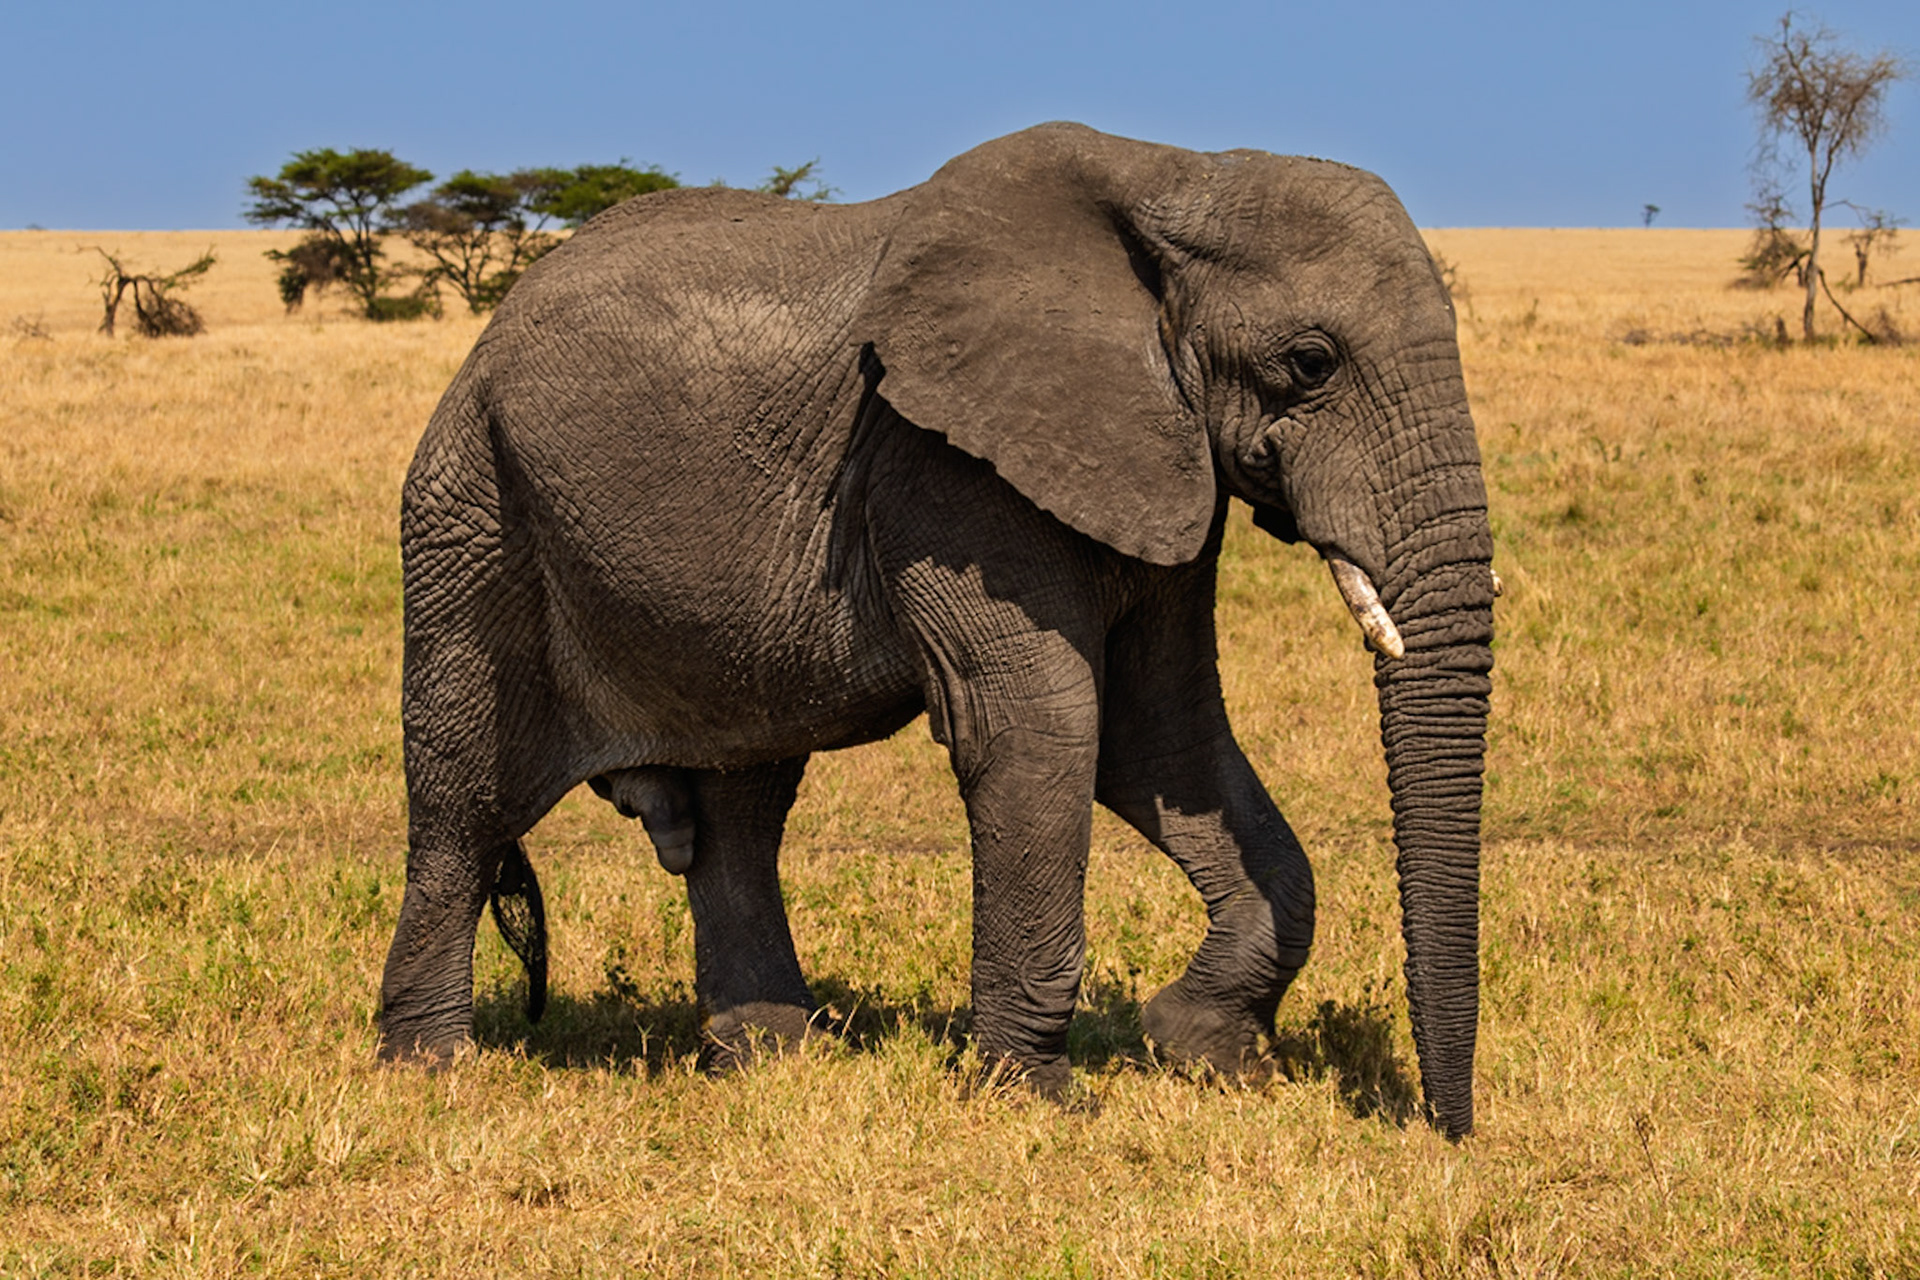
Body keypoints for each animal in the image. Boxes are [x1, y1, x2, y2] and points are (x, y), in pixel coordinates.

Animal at [378, 122, 1496, 1139]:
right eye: (1310, 361)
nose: (1442, 1131)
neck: (1173, 174)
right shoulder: (943, 467)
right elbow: (1042, 728)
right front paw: (1038, 1103)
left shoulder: (1158, 458)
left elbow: (1163, 734)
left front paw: (1209, 1052)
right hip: (470, 510)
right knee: (464, 801)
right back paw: (431, 1071)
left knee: (741, 810)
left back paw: (775, 1057)